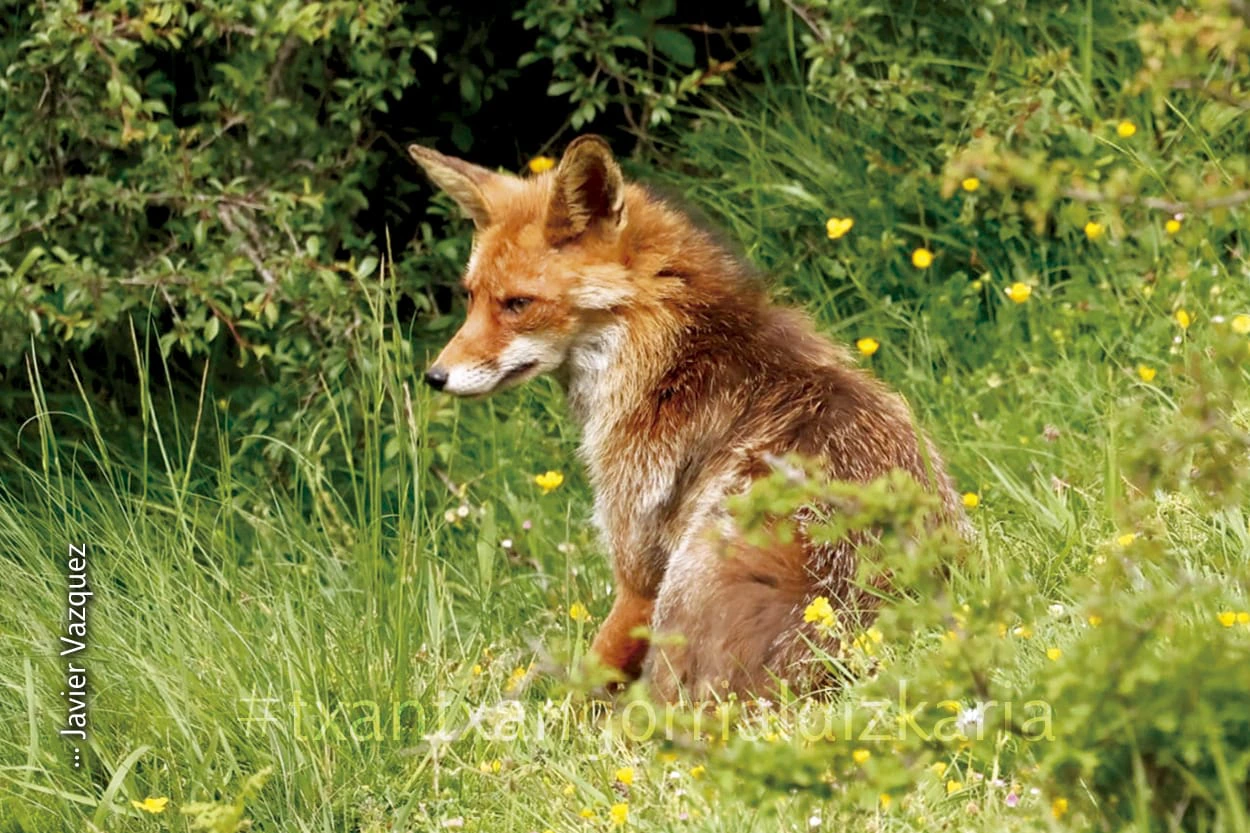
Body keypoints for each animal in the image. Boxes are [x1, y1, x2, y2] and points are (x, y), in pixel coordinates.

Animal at [410, 134, 965, 695]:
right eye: (471, 297)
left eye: (518, 303)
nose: (434, 376)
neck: (669, 357)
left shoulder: (639, 575)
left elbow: (581, 685)